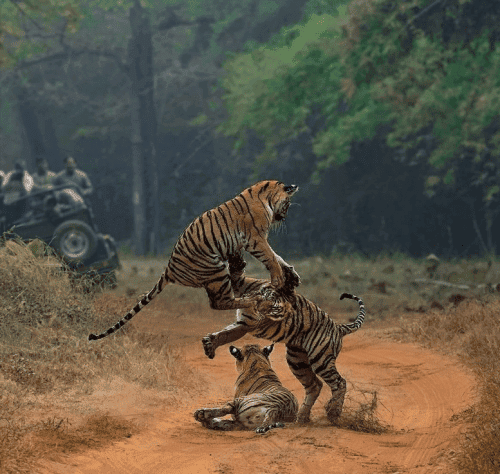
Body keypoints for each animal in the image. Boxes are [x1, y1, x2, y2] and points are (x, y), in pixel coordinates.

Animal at [87, 181, 298, 340]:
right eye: (288, 204)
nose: (284, 217)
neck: (265, 196)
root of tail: (169, 268)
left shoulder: (255, 240)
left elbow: (277, 256)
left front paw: (291, 275)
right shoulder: (255, 239)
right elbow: (270, 256)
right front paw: (279, 278)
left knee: (223, 296)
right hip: (216, 269)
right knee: (220, 302)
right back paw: (254, 299)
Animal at [200, 254, 368, 424]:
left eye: (275, 308)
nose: (260, 309)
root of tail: (338, 327)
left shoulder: (247, 325)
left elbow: (228, 333)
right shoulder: (244, 317)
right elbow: (225, 333)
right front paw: (209, 344)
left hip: (321, 359)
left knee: (340, 382)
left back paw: (333, 412)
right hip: (297, 361)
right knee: (314, 385)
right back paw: (302, 417)